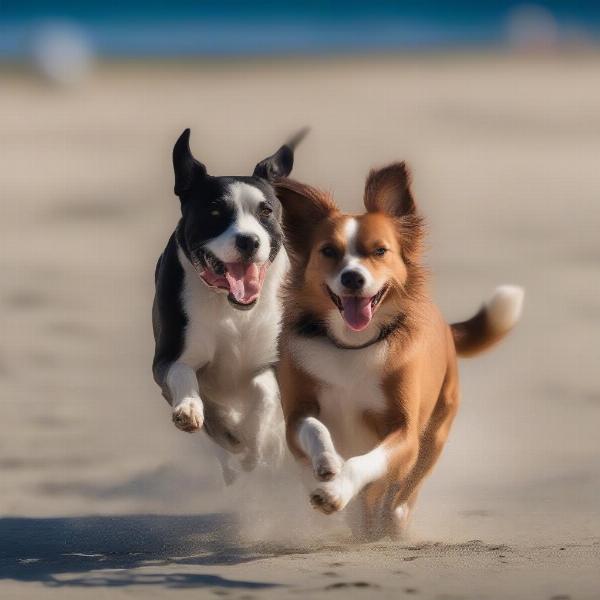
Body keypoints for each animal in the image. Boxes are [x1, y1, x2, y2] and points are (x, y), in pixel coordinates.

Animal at [152, 127, 308, 482]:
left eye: (266, 212)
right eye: (215, 213)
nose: (249, 240)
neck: (232, 308)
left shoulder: (274, 361)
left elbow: (265, 393)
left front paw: (256, 438)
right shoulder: (167, 359)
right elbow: (182, 374)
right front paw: (190, 409)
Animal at [274, 164, 524, 540]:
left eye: (380, 251)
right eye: (329, 251)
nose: (352, 278)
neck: (353, 344)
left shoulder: (403, 433)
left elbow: (367, 464)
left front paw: (338, 490)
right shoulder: (297, 413)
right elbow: (315, 430)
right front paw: (328, 464)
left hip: (435, 433)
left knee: (405, 486)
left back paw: (392, 519)